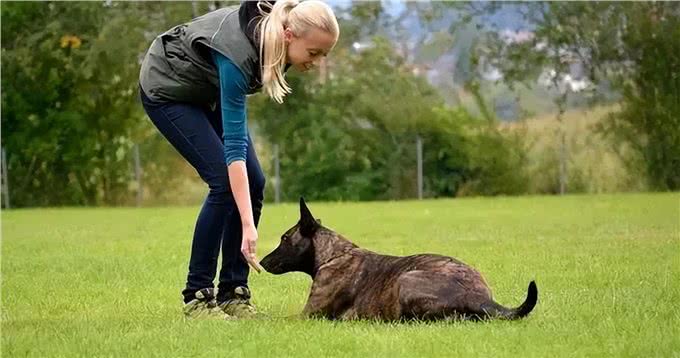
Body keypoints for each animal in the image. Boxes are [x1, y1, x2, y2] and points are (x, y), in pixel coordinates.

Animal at [258, 199, 536, 322]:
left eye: (284, 238)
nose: (261, 262)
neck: (333, 254)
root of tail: (478, 297)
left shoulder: (307, 315)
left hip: (406, 279)